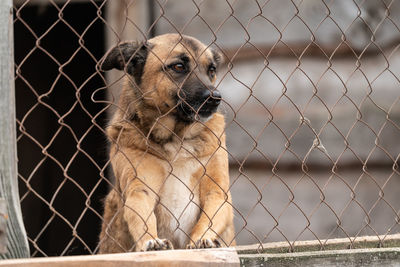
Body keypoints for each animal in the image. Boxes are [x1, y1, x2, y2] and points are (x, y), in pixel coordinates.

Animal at [97, 33, 234, 253]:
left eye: (211, 70)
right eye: (178, 66)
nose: (215, 98)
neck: (177, 139)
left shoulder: (217, 192)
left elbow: (209, 218)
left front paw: (202, 238)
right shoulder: (140, 190)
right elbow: (142, 218)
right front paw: (151, 240)